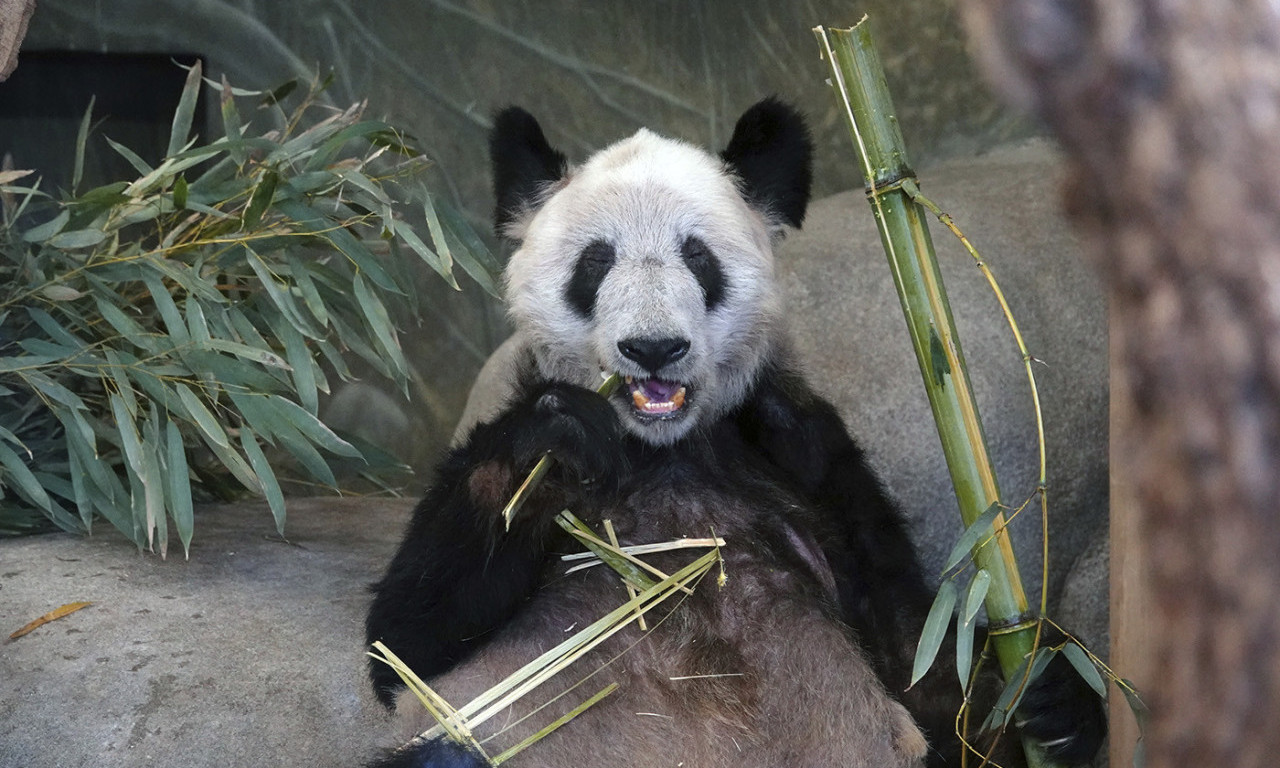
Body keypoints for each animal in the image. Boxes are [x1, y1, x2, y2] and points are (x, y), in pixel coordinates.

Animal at [363, 100, 1106, 768]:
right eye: (596, 262)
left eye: (698, 257)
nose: (653, 348)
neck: (660, 448)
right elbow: (408, 640)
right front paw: (555, 439)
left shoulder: (803, 455)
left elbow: (921, 664)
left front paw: (1054, 692)